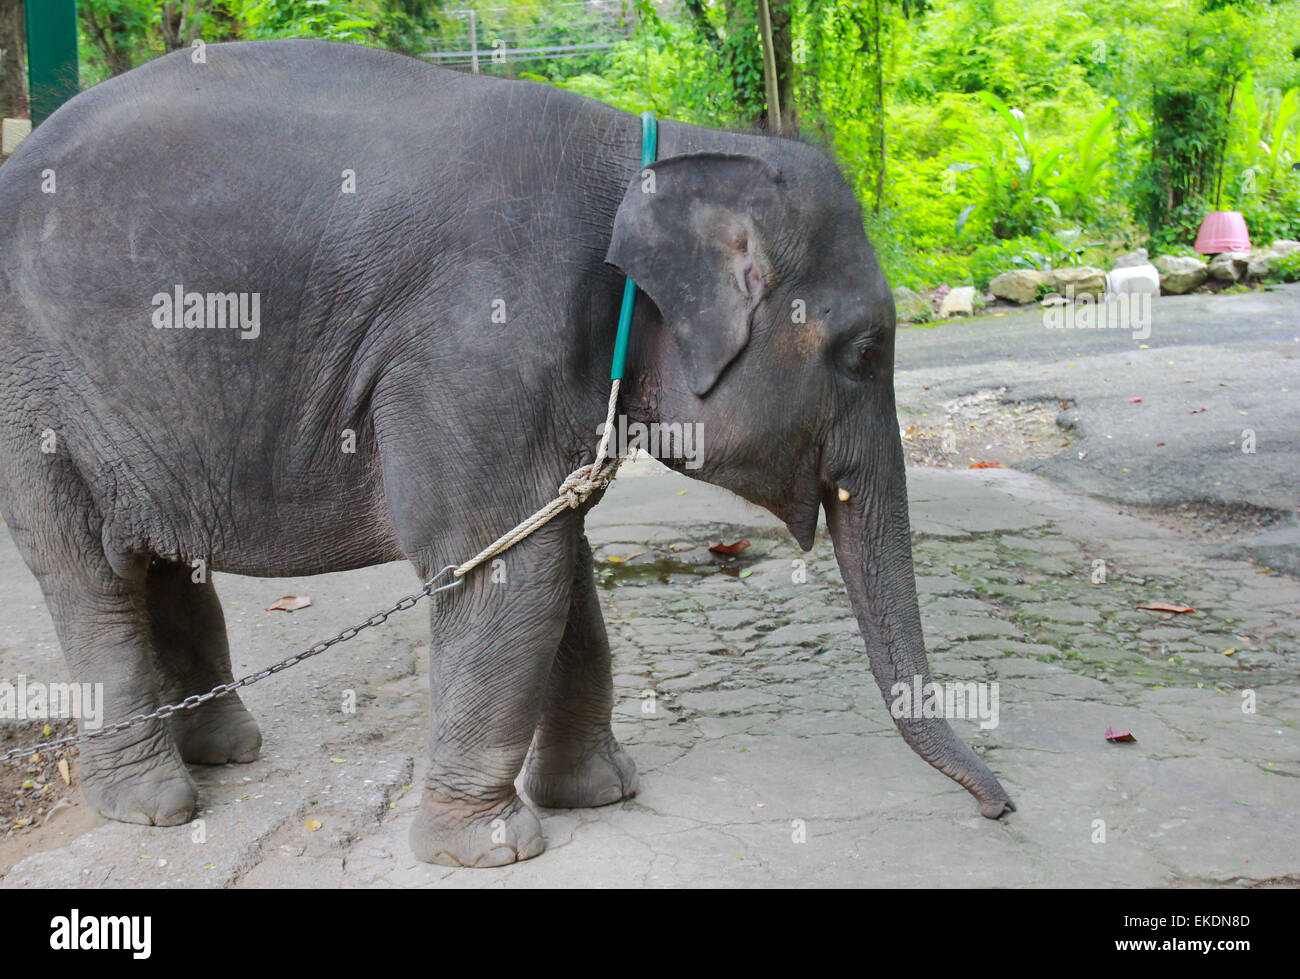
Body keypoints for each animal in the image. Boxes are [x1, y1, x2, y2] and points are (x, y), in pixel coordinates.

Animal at [0, 39, 1014, 867]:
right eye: (863, 350)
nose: (1001, 808)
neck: (651, 153)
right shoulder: (480, 341)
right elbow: (505, 567)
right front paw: (490, 849)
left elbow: (557, 554)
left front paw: (600, 793)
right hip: (32, 391)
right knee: (89, 576)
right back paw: (156, 805)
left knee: (163, 560)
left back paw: (226, 752)